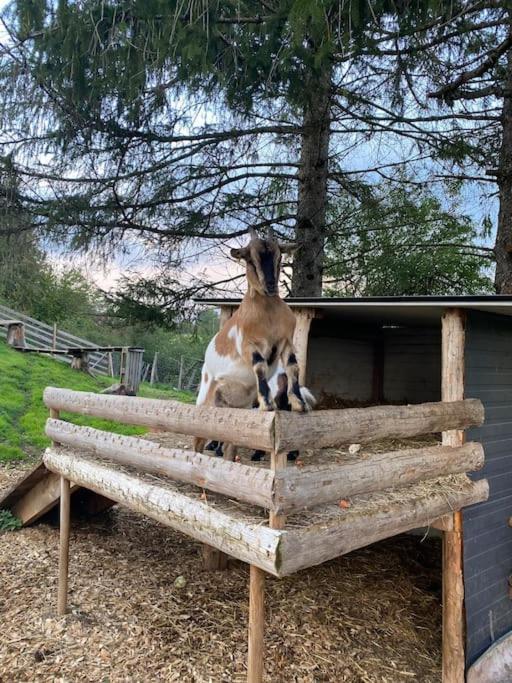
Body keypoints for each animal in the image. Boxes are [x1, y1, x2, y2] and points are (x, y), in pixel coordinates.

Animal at [194, 228, 308, 454]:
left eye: (279, 257)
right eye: (250, 259)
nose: (271, 285)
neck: (267, 315)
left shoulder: (286, 342)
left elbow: (293, 367)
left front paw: (299, 403)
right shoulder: (248, 345)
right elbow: (260, 366)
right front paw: (267, 404)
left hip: (235, 409)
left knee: (228, 445)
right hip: (205, 400)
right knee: (197, 439)